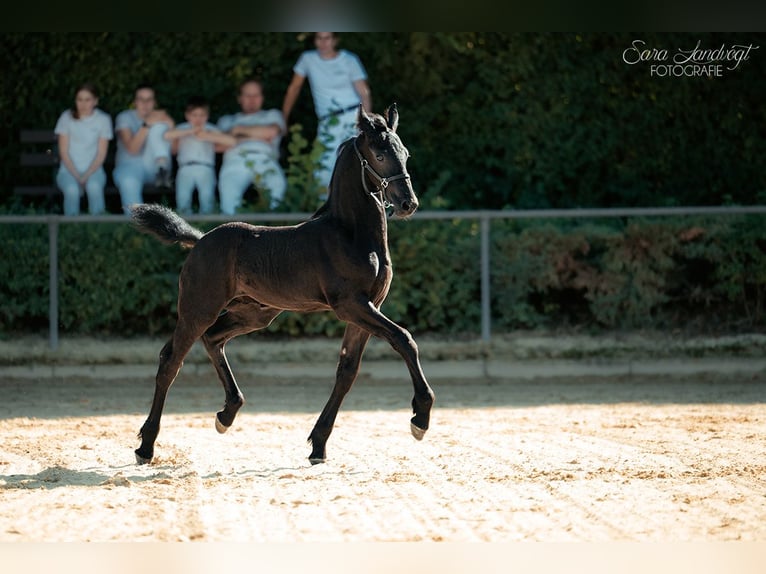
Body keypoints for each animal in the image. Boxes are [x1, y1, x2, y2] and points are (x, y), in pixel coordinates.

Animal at [130, 103, 435, 465]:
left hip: (255, 313)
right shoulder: (351, 305)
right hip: (198, 308)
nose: (407, 203)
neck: (350, 234)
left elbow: (347, 370)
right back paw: (146, 446)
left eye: (405, 153)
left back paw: (227, 414)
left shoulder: (367, 308)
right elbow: (404, 339)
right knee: (171, 360)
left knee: (213, 339)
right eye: (378, 154)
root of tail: (200, 239)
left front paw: (318, 444)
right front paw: (420, 417)